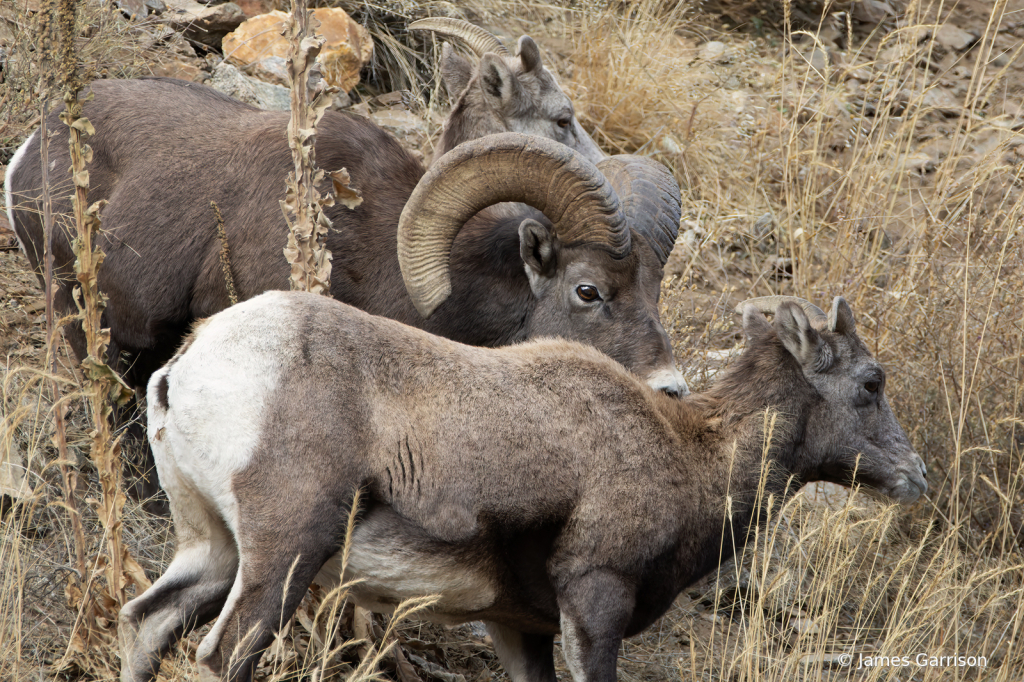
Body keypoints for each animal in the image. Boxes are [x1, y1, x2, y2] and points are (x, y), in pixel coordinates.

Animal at [119, 290, 929, 679]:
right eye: (871, 383)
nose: (915, 476)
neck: (689, 453)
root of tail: (185, 368)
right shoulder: (596, 600)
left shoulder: (521, 629)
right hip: (284, 555)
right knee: (222, 656)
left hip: (212, 549)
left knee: (145, 624)